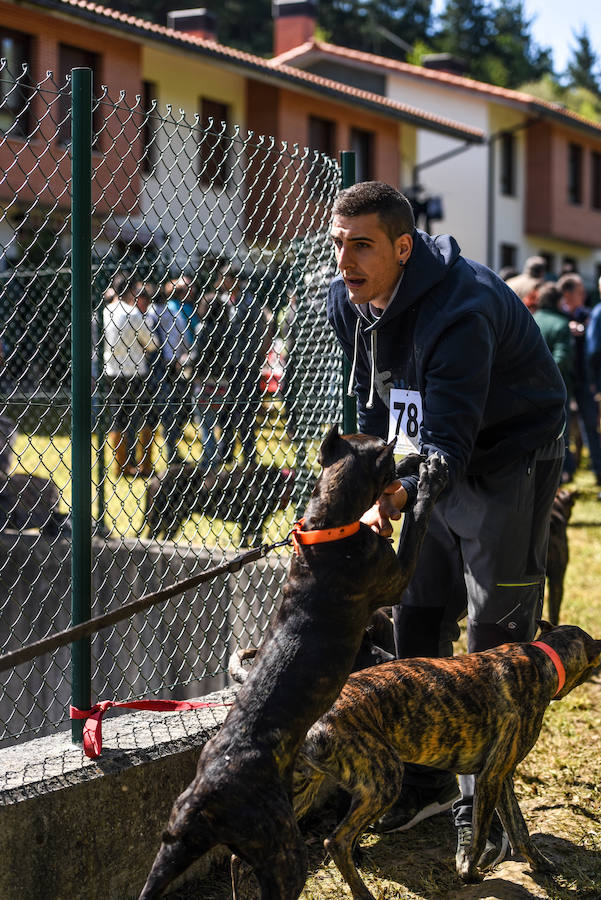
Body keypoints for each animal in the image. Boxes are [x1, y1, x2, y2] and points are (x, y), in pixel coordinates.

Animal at [138, 430, 448, 900]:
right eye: (387, 454)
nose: (413, 458)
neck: (327, 526)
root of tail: (203, 796)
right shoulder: (396, 575)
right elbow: (417, 523)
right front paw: (428, 482)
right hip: (286, 853)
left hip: (180, 850)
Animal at [290, 624, 596, 896]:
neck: (541, 656)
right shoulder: (490, 778)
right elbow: (480, 835)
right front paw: (469, 873)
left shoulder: (501, 777)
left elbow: (519, 829)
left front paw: (541, 864)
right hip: (383, 782)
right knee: (337, 842)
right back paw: (362, 893)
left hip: (303, 791)